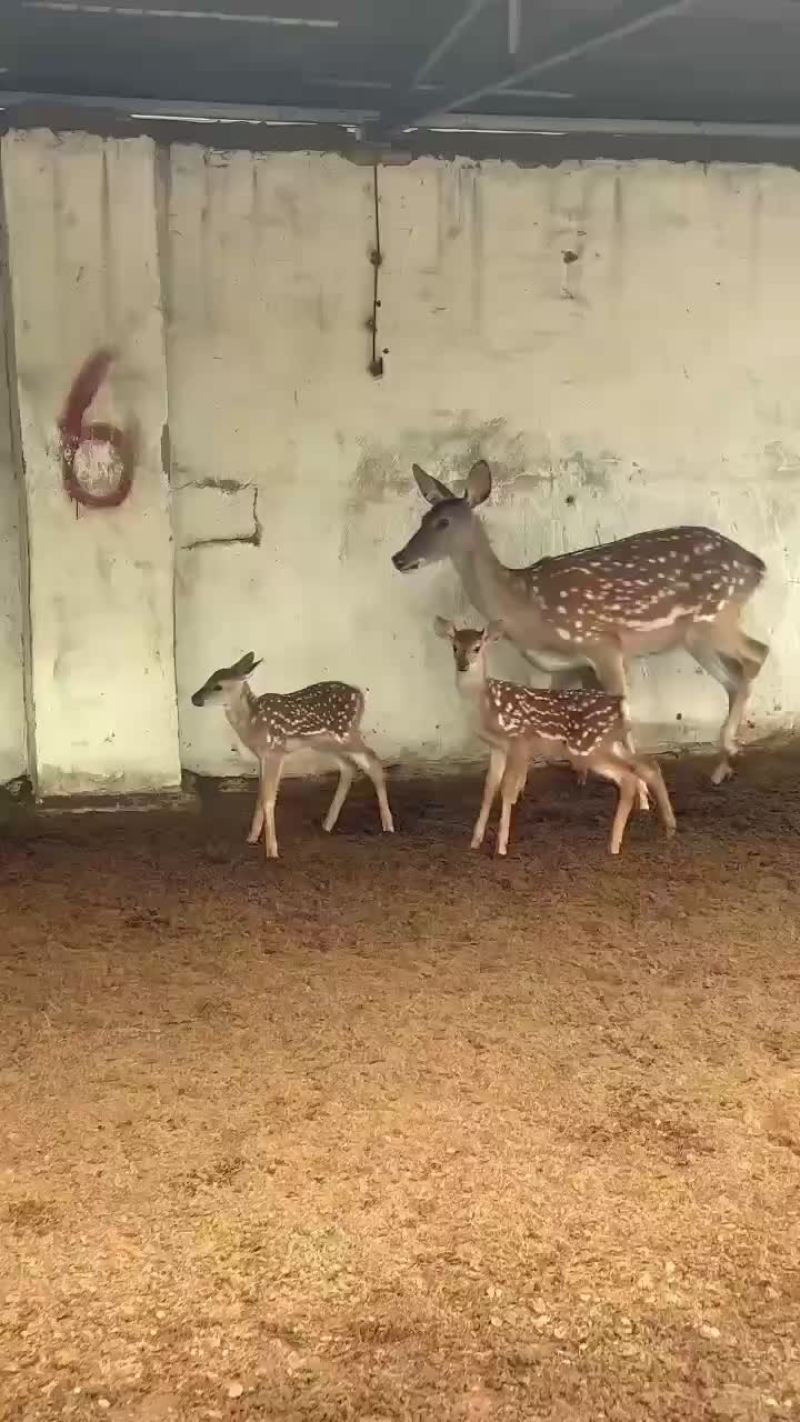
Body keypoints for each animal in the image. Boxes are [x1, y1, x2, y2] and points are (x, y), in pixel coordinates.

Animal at [191, 652, 395, 859]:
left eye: (218, 686)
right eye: (209, 678)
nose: (194, 698)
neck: (252, 723)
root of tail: (360, 695)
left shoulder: (275, 750)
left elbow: (269, 798)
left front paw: (272, 851)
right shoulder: (262, 756)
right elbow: (261, 794)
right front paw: (252, 837)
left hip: (346, 733)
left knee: (373, 760)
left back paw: (388, 825)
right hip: (325, 742)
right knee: (349, 766)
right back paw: (328, 824)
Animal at [393, 460, 768, 788]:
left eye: (443, 522)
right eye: (423, 518)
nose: (399, 558)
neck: (527, 607)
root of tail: (756, 565)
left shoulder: (603, 643)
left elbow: (620, 716)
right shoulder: (564, 665)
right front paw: (584, 774)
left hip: (717, 616)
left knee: (756, 654)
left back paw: (729, 750)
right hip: (694, 636)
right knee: (734, 679)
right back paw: (722, 765)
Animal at [435, 618, 676, 856]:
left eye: (477, 647)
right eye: (454, 646)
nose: (463, 665)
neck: (485, 705)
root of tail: (620, 705)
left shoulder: (520, 741)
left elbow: (507, 789)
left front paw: (501, 846)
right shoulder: (497, 747)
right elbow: (489, 788)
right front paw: (475, 841)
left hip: (587, 747)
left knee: (628, 777)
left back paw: (614, 844)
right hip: (608, 743)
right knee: (648, 764)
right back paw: (669, 828)